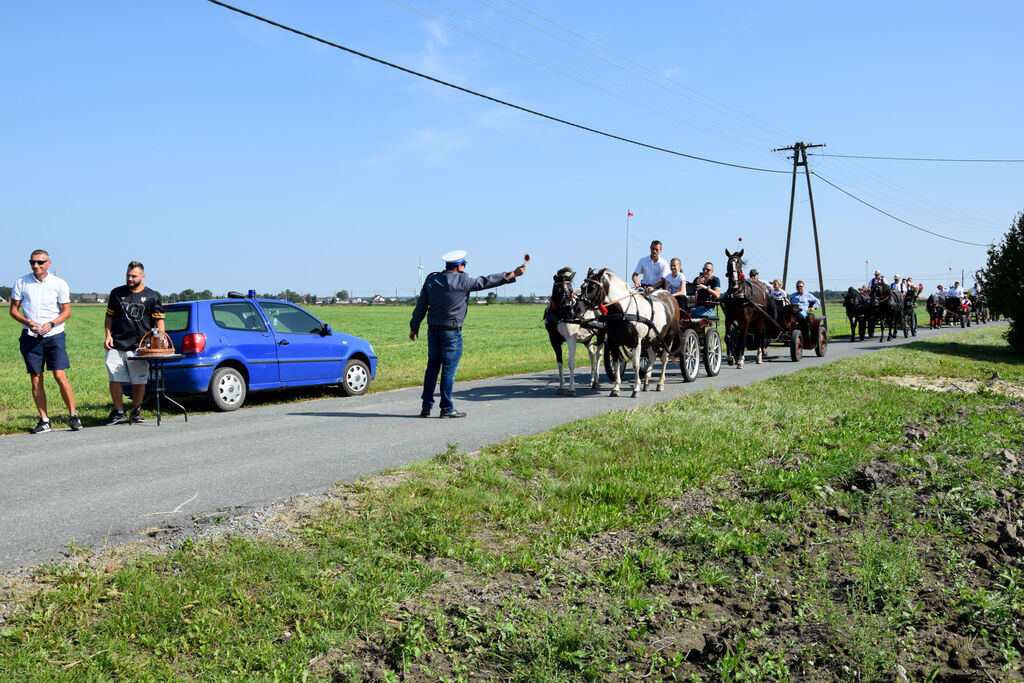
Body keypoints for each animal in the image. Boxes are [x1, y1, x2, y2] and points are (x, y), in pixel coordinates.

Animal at [540, 266, 602, 395]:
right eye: (558, 289)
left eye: (571, 289)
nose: (569, 311)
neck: (560, 315)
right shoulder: (554, 341)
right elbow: (559, 363)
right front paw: (561, 386)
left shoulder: (571, 339)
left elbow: (571, 363)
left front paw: (571, 388)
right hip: (587, 340)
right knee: (592, 355)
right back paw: (591, 381)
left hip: (601, 335)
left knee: (599, 355)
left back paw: (596, 381)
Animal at [577, 266, 679, 395]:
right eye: (582, 287)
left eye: (592, 288)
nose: (576, 308)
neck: (623, 311)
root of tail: (669, 295)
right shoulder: (614, 342)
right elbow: (616, 364)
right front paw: (616, 388)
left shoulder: (636, 342)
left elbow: (635, 365)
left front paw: (635, 389)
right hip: (650, 339)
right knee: (652, 356)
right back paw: (646, 382)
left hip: (669, 337)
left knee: (664, 358)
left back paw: (660, 383)